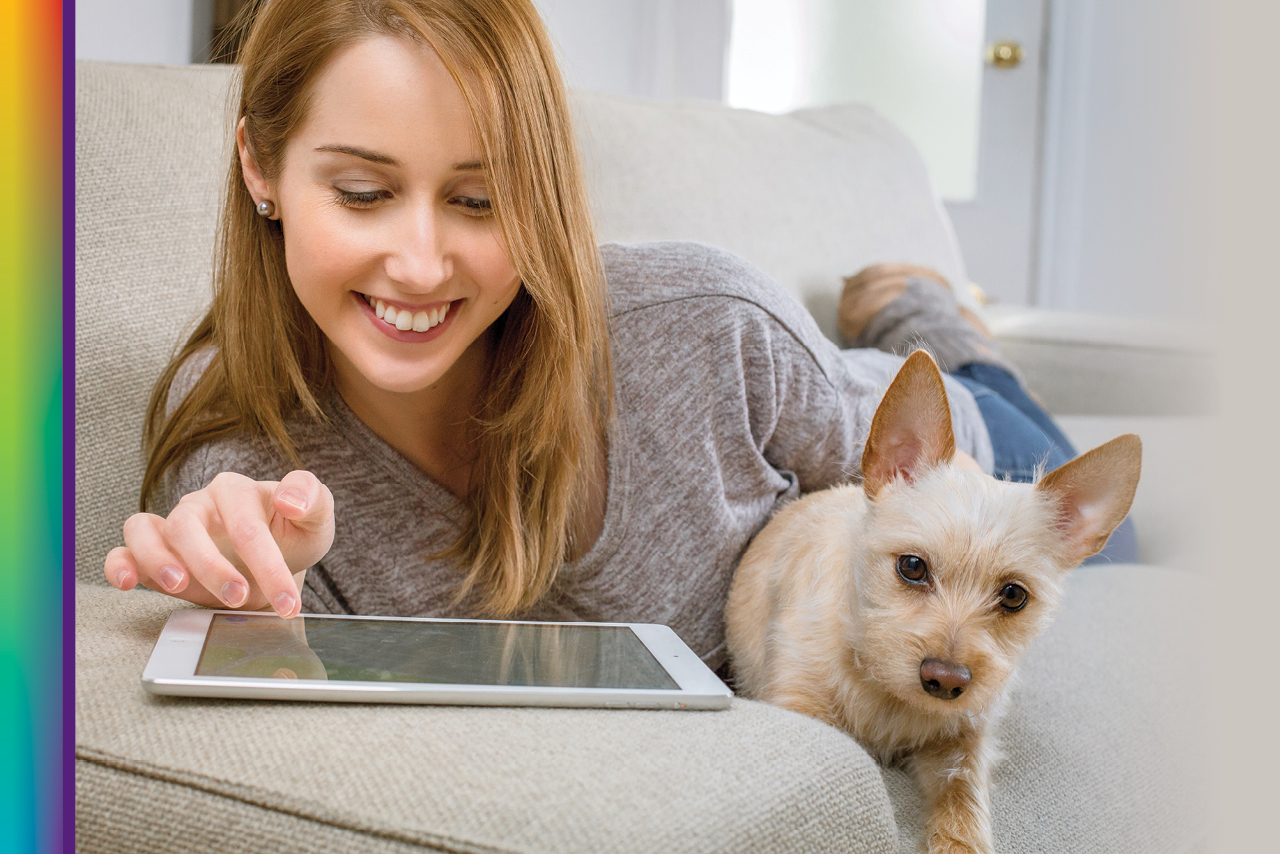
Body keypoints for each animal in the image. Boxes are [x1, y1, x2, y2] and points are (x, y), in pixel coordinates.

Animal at [727, 348, 1146, 854]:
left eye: (1014, 595)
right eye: (912, 566)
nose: (945, 680)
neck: (884, 690)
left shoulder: (964, 742)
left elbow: (962, 800)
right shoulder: (799, 703)